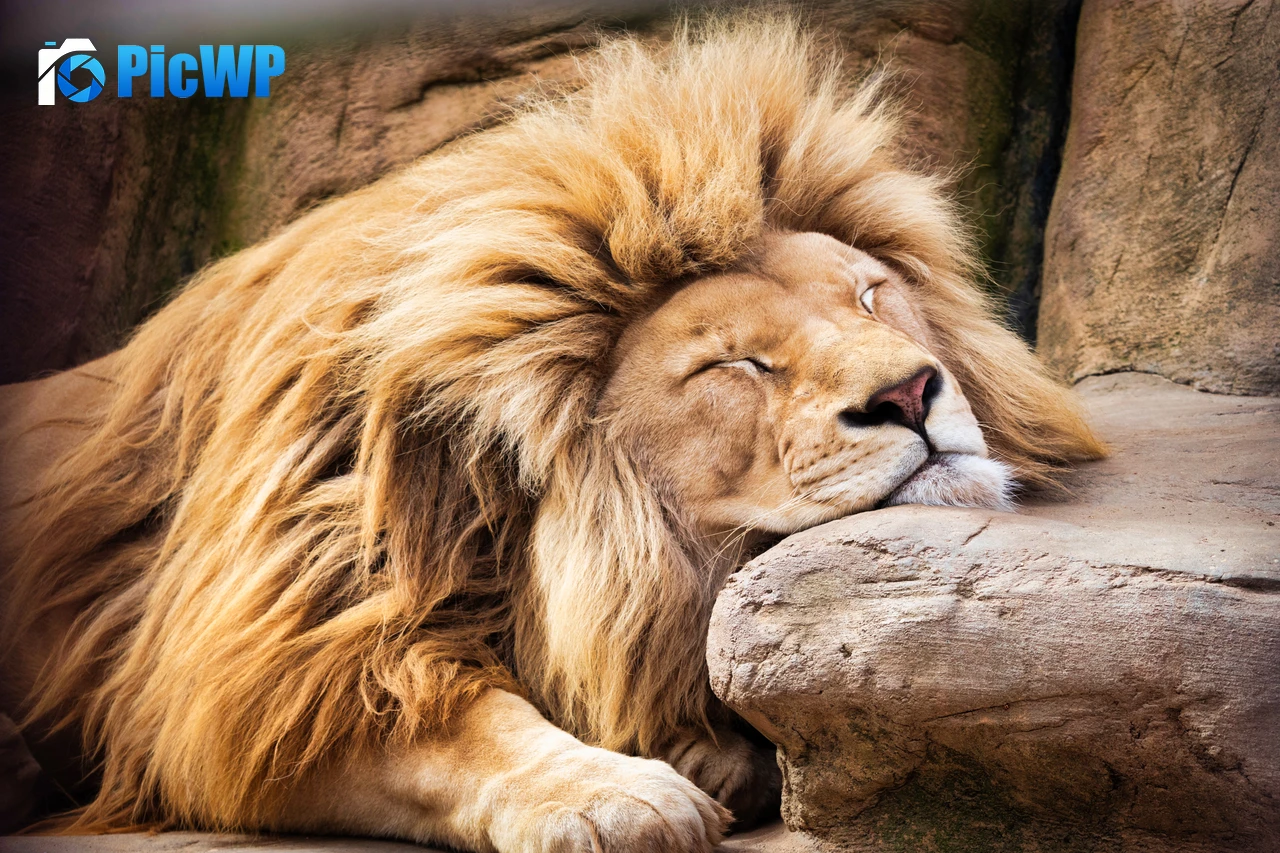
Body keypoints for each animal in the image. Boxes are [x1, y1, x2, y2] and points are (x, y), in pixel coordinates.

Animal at [0, 16, 1104, 852]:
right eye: (737, 364)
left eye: (872, 295)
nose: (912, 393)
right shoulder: (257, 670)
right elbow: (462, 726)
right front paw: (618, 792)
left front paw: (699, 749)